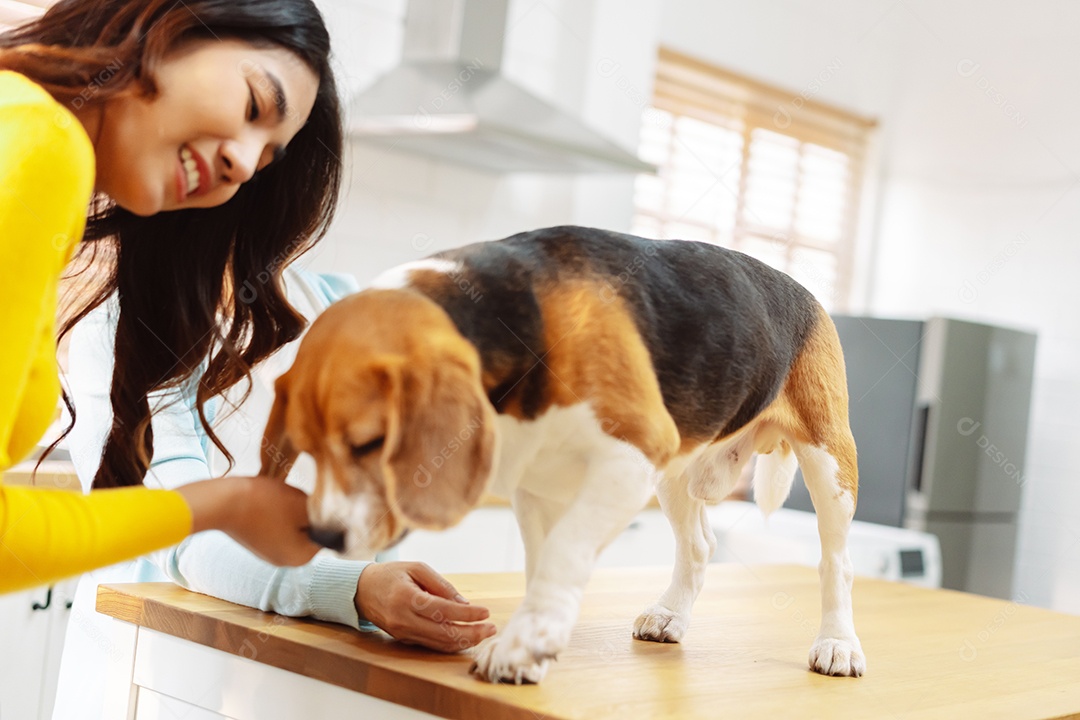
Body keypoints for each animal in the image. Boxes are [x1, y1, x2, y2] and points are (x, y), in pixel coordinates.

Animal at [263, 223, 868, 682]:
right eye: (308, 449)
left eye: (369, 443)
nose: (324, 536)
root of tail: (805, 292)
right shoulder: (537, 484)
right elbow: (543, 562)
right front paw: (535, 638)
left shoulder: (630, 457)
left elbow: (564, 553)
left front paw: (522, 644)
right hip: (674, 473)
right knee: (699, 547)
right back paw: (670, 614)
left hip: (827, 461)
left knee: (836, 561)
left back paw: (838, 643)